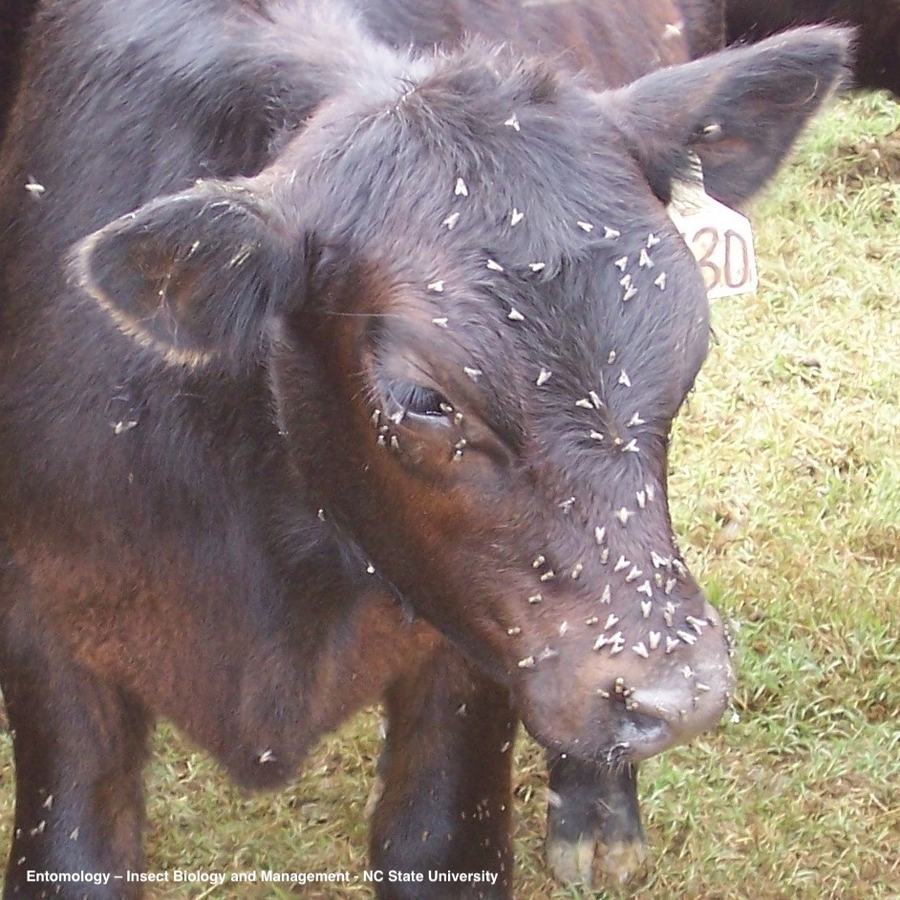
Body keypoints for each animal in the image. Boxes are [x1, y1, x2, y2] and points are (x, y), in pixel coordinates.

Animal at [0, 0, 848, 896]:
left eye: (691, 345)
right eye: (422, 399)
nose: (682, 694)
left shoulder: (473, 640)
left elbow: (439, 843)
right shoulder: (45, 607)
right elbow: (72, 853)